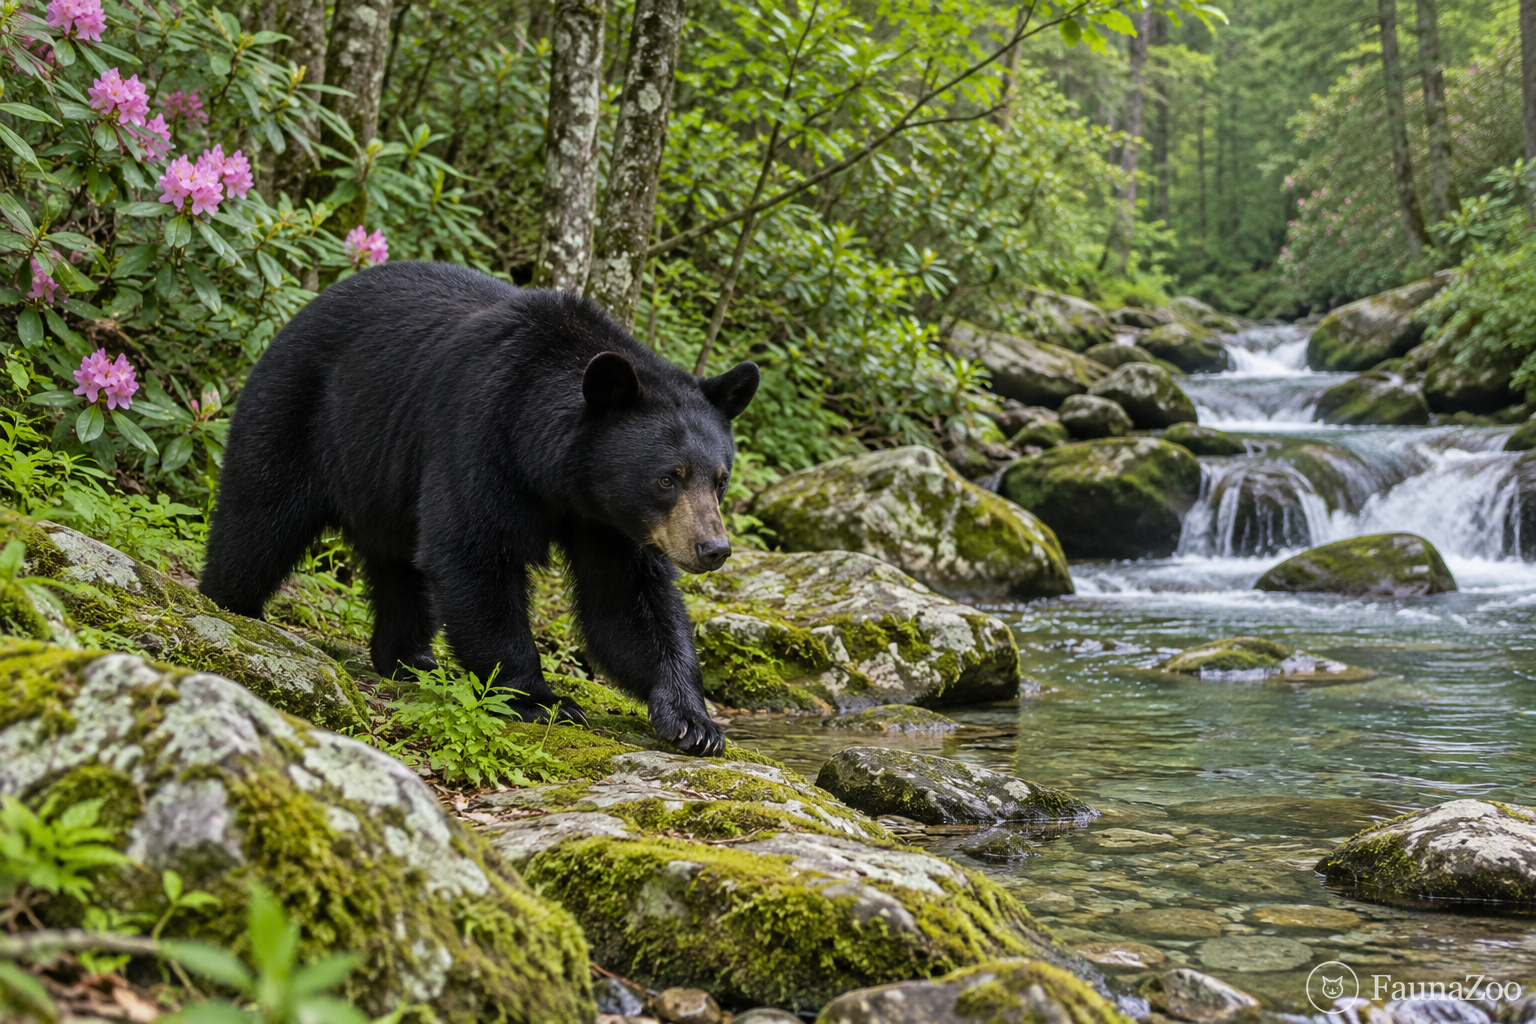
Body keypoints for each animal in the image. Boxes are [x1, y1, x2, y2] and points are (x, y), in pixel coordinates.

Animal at [199, 261, 759, 756]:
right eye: (667, 477)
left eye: (719, 479)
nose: (713, 548)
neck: (557, 471)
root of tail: (299, 313)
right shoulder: (482, 431)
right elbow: (473, 553)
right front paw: (542, 700)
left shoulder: (609, 519)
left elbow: (627, 600)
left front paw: (693, 721)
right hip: (301, 412)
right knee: (258, 518)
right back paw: (230, 606)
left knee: (399, 565)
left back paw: (409, 658)